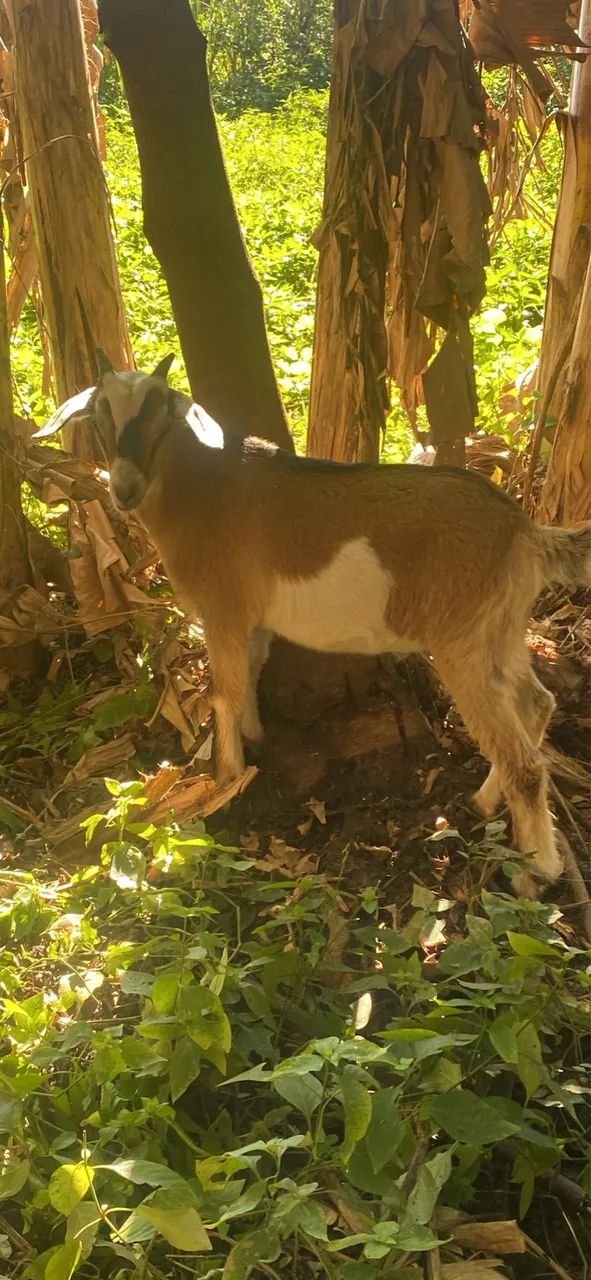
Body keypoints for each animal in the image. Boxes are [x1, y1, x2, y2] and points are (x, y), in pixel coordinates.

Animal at [44, 354, 591, 898]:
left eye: (161, 417)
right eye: (98, 419)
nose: (124, 488)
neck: (202, 490)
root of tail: (524, 531)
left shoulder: (223, 608)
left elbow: (224, 691)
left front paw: (226, 780)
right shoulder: (254, 621)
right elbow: (250, 675)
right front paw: (254, 740)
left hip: (463, 640)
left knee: (524, 759)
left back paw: (537, 869)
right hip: (502, 630)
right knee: (537, 703)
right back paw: (483, 801)